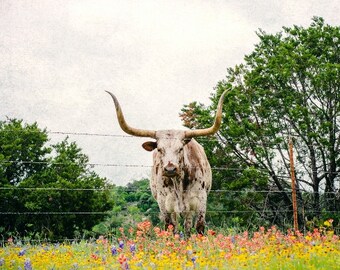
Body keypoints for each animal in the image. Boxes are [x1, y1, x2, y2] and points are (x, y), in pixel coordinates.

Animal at [106, 90, 227, 234]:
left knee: (187, 226)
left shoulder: (200, 201)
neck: (179, 183)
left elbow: (199, 228)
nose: (170, 169)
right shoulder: (165, 204)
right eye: (159, 149)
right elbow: (170, 228)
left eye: (180, 148)